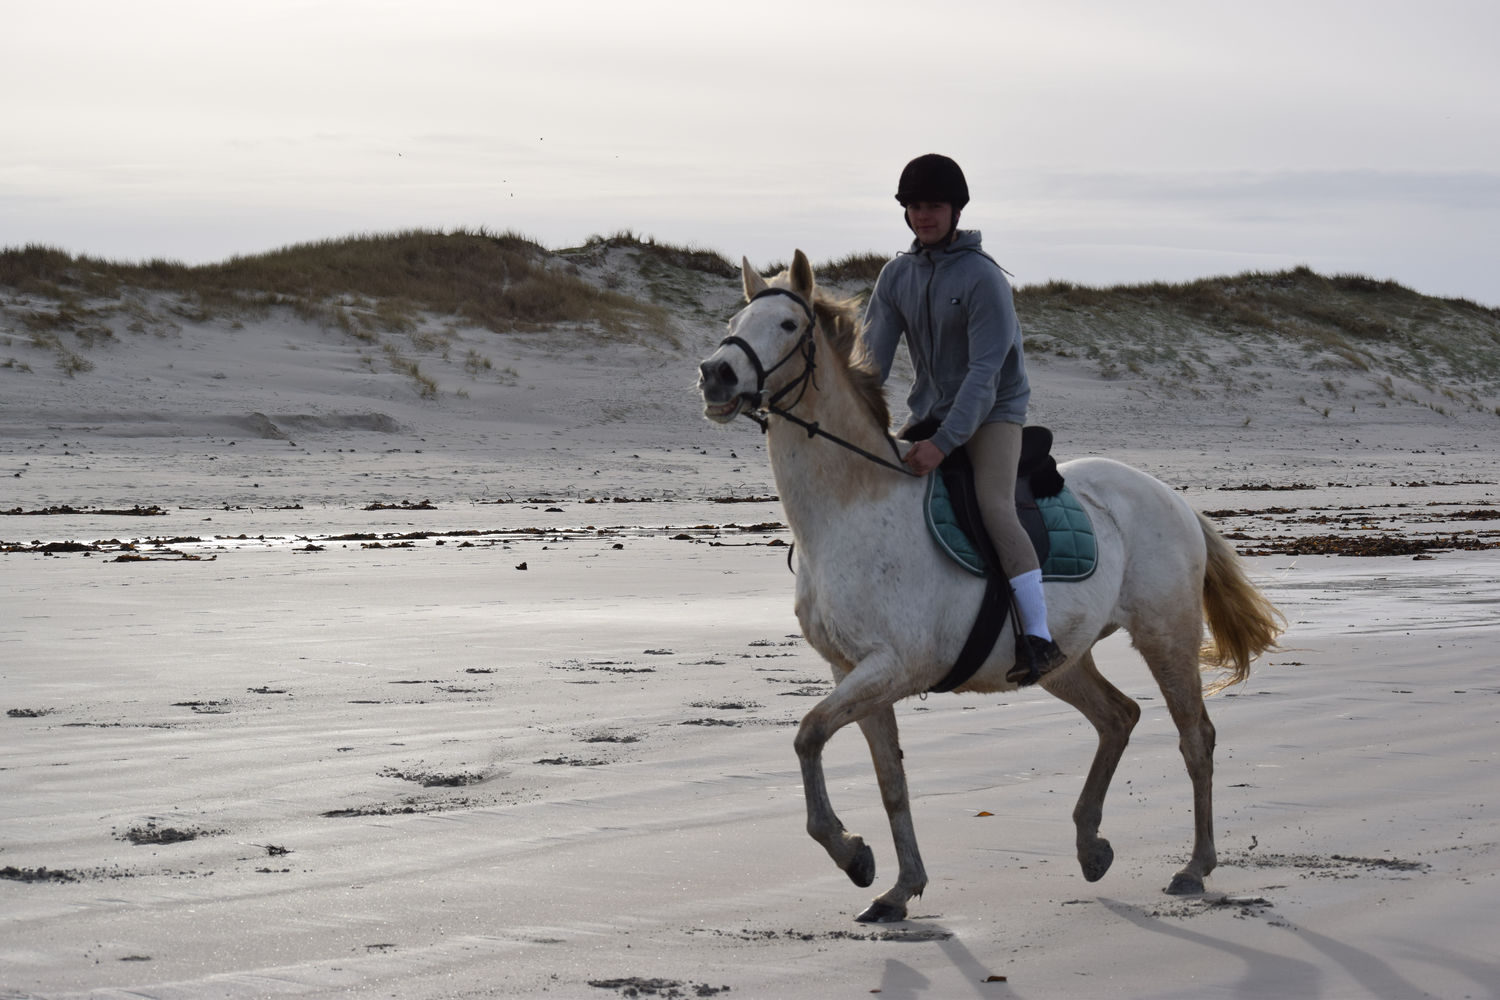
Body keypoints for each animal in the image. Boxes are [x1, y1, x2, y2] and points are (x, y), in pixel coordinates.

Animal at [696, 250, 1284, 923]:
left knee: (1195, 739)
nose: (715, 375)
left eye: (789, 325)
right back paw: (1091, 846)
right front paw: (898, 887)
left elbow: (808, 734)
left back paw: (1194, 867)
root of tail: (1171, 497)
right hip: (1062, 660)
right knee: (1119, 717)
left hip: (1167, 636)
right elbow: (887, 778)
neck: (851, 509)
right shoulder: (853, 670)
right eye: (735, 320)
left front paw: (853, 856)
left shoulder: (894, 666)